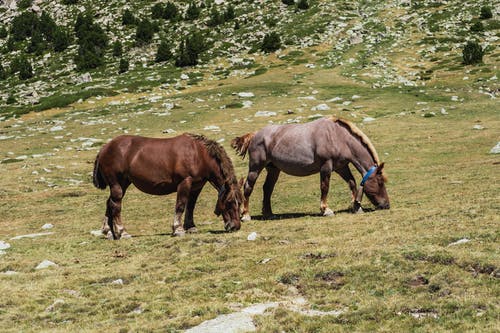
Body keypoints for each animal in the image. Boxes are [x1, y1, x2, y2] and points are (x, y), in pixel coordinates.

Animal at [94, 133, 244, 239]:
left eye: (240, 202)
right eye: (229, 202)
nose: (235, 226)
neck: (199, 154)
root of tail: (104, 148)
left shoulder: (196, 186)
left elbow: (190, 206)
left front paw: (191, 227)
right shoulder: (185, 182)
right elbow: (181, 205)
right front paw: (178, 229)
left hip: (124, 183)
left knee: (109, 203)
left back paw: (109, 232)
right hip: (117, 184)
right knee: (115, 205)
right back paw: (122, 232)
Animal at [231, 116, 390, 220]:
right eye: (380, 182)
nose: (386, 205)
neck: (338, 136)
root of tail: (255, 135)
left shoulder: (341, 167)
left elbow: (352, 183)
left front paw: (357, 206)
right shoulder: (326, 166)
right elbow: (325, 187)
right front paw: (326, 210)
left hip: (273, 169)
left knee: (268, 188)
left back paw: (269, 213)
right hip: (255, 168)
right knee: (248, 187)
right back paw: (246, 215)